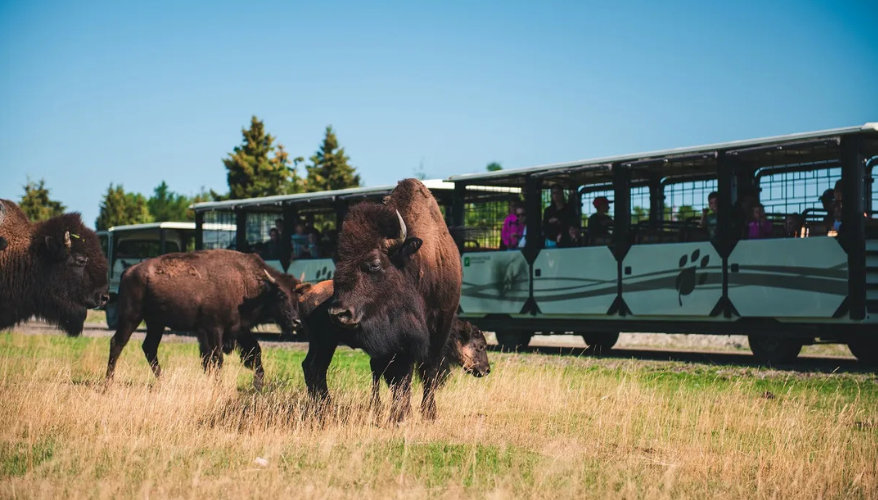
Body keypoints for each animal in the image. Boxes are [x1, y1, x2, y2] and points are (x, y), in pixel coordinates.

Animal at [105, 249, 304, 390]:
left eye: (297, 297)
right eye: (280, 295)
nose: (296, 322)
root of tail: (128, 272)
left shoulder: (239, 329)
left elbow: (254, 353)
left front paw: (258, 386)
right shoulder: (214, 329)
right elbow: (217, 358)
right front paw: (218, 386)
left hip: (156, 324)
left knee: (149, 348)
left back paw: (164, 381)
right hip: (131, 317)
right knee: (117, 343)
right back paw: (109, 382)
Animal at [313, 178, 463, 421]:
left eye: (374, 264)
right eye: (339, 262)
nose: (338, 314)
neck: (412, 265)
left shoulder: (439, 327)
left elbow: (428, 371)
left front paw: (428, 413)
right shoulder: (398, 342)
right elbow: (400, 378)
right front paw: (400, 414)